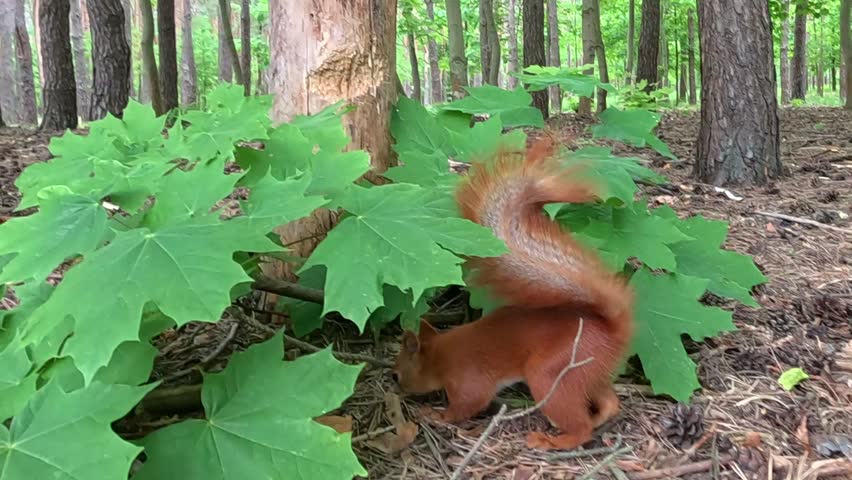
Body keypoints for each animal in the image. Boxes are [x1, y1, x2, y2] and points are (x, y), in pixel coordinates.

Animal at [392, 138, 635, 450]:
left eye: (397, 374)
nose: (397, 388)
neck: (442, 354)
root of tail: (613, 329)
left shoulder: (467, 380)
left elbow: (467, 405)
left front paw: (436, 415)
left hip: (551, 374)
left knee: (580, 427)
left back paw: (552, 440)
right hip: (587, 372)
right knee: (609, 400)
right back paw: (601, 416)